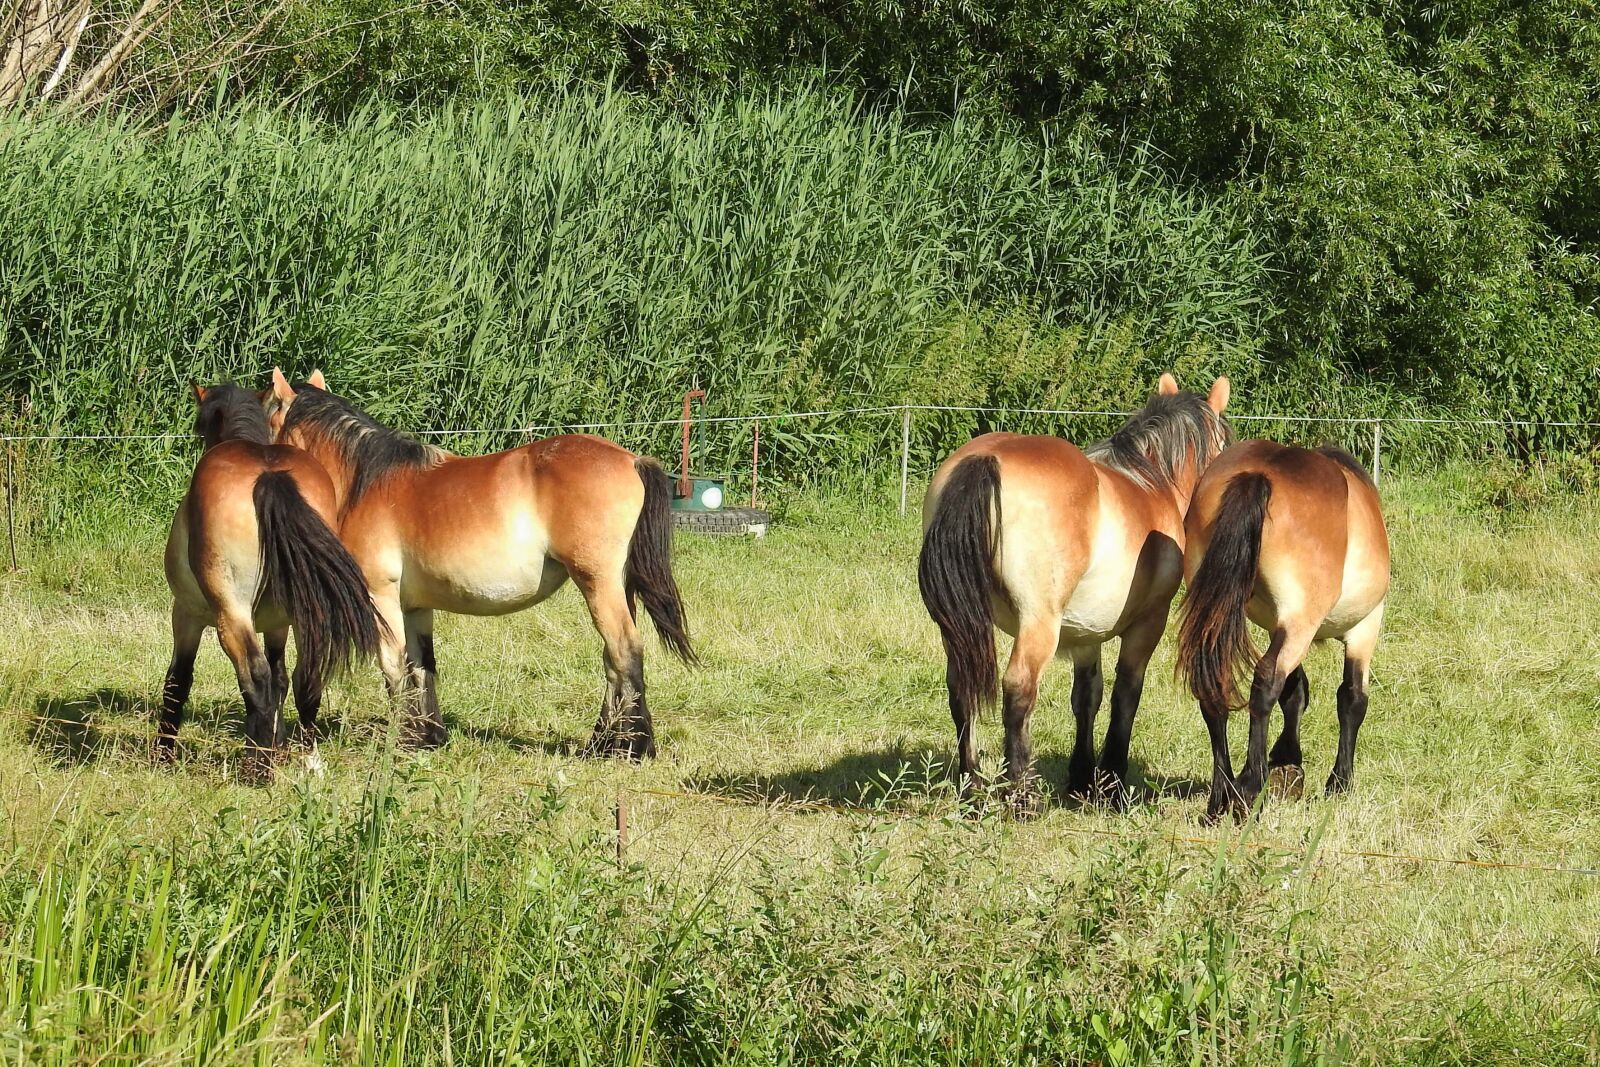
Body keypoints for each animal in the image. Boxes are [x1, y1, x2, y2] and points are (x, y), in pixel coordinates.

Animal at [159, 383, 383, 780]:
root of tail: (269, 475)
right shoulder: (278, 624)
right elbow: (281, 680)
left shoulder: (185, 615)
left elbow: (178, 681)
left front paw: (164, 755)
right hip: (308, 613)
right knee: (306, 679)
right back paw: (306, 761)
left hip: (230, 616)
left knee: (256, 679)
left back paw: (258, 766)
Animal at [263, 369, 695, 758]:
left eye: (270, 422)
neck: (367, 482)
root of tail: (631, 460)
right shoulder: (414, 606)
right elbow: (422, 666)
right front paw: (427, 737)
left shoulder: (380, 596)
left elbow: (393, 666)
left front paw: (401, 741)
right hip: (617, 587)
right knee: (612, 659)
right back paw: (602, 743)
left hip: (598, 584)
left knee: (625, 651)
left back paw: (634, 746)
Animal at [918, 374, 1233, 811]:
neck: (1153, 483)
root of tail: (985, 459)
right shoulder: (1148, 623)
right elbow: (1125, 694)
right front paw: (1113, 784)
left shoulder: (1086, 633)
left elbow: (1087, 698)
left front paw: (1082, 780)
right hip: (1038, 624)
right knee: (1018, 690)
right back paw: (1021, 795)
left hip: (957, 626)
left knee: (960, 690)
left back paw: (972, 787)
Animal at [1176, 439, 1390, 822]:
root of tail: (1257, 474)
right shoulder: (1364, 628)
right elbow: (1352, 698)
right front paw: (1338, 782)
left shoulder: (1279, 624)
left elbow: (1295, 692)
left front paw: (1288, 760)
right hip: (1304, 623)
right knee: (1265, 683)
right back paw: (1248, 789)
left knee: (1216, 688)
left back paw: (1221, 796)